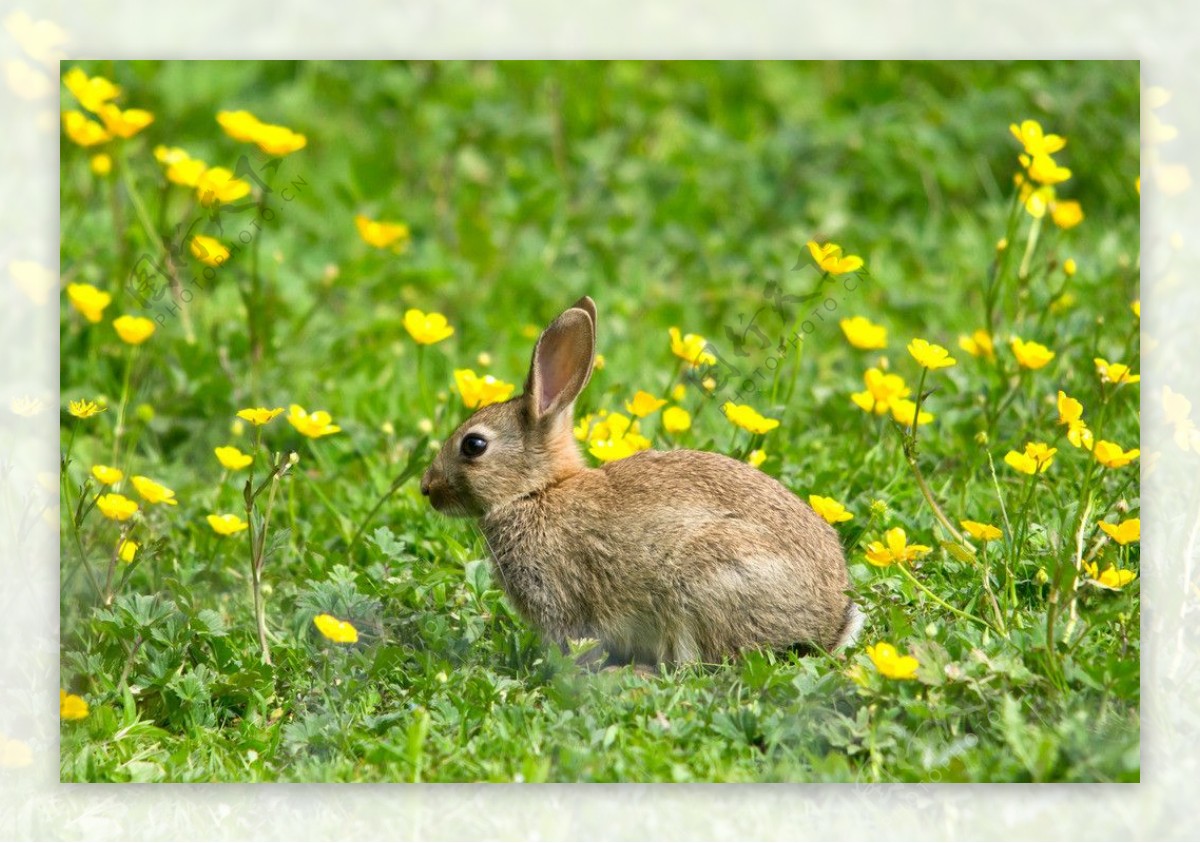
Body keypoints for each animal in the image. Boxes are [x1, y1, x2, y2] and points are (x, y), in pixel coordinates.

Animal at [422, 297, 864, 667]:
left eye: (474, 445)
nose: (427, 488)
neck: (537, 491)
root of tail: (829, 623)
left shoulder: (562, 599)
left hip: (703, 584)